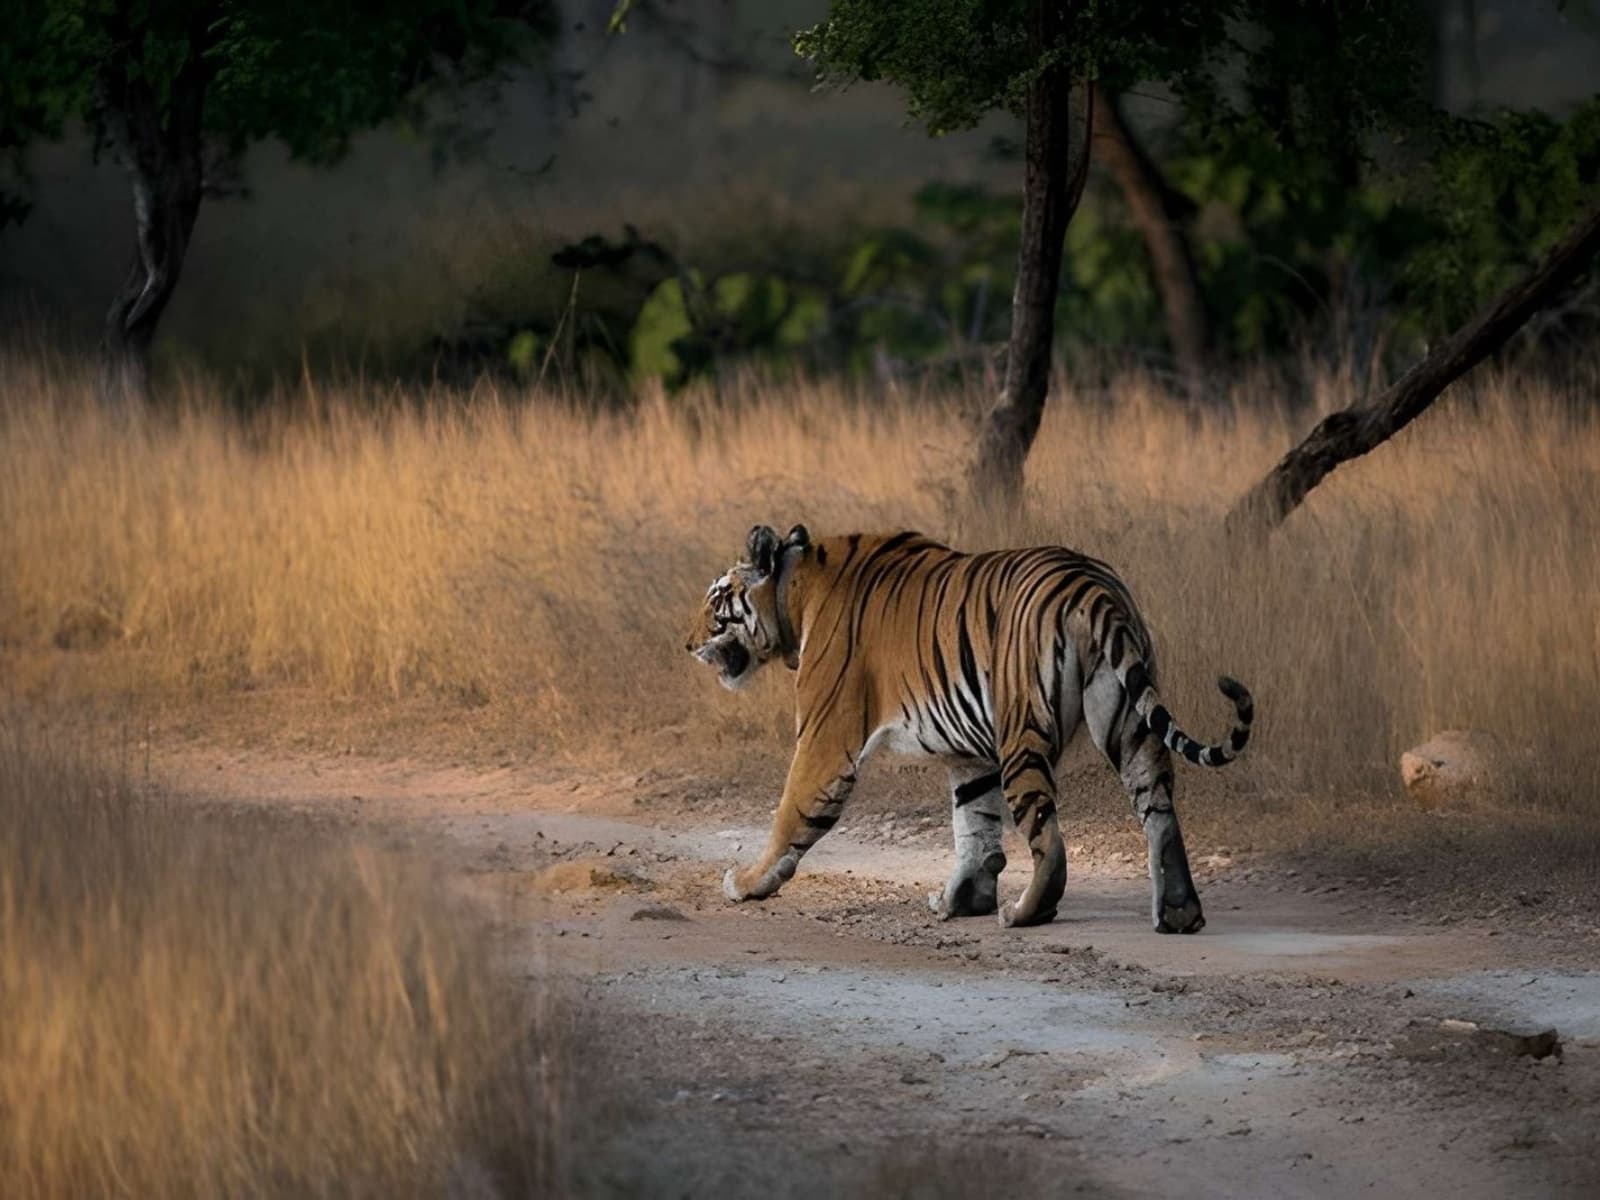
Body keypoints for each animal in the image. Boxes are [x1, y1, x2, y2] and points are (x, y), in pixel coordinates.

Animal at [685, 524, 1253, 933]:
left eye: (716, 603)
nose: (686, 644)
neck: (796, 593)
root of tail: (1093, 586)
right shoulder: (971, 756)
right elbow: (975, 828)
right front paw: (962, 900)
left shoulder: (827, 738)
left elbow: (790, 815)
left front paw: (747, 882)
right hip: (1128, 721)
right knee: (1159, 811)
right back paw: (1179, 913)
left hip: (1021, 729)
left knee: (1050, 837)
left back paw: (1024, 914)